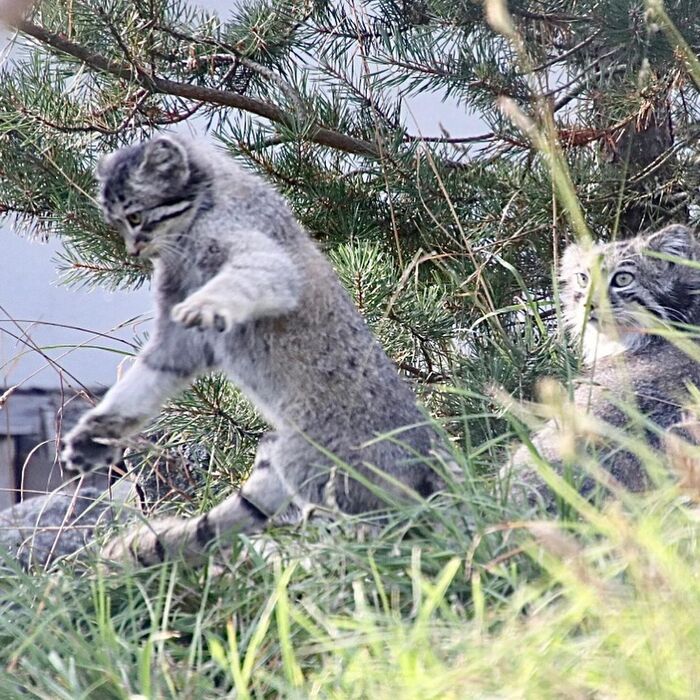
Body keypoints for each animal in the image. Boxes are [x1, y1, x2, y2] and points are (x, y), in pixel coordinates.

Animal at [60, 135, 450, 566]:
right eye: (116, 221)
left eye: (134, 216)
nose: (133, 250)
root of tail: (431, 450)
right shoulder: (177, 342)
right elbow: (142, 383)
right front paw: (96, 432)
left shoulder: (253, 249)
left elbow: (253, 278)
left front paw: (207, 304)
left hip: (319, 466)